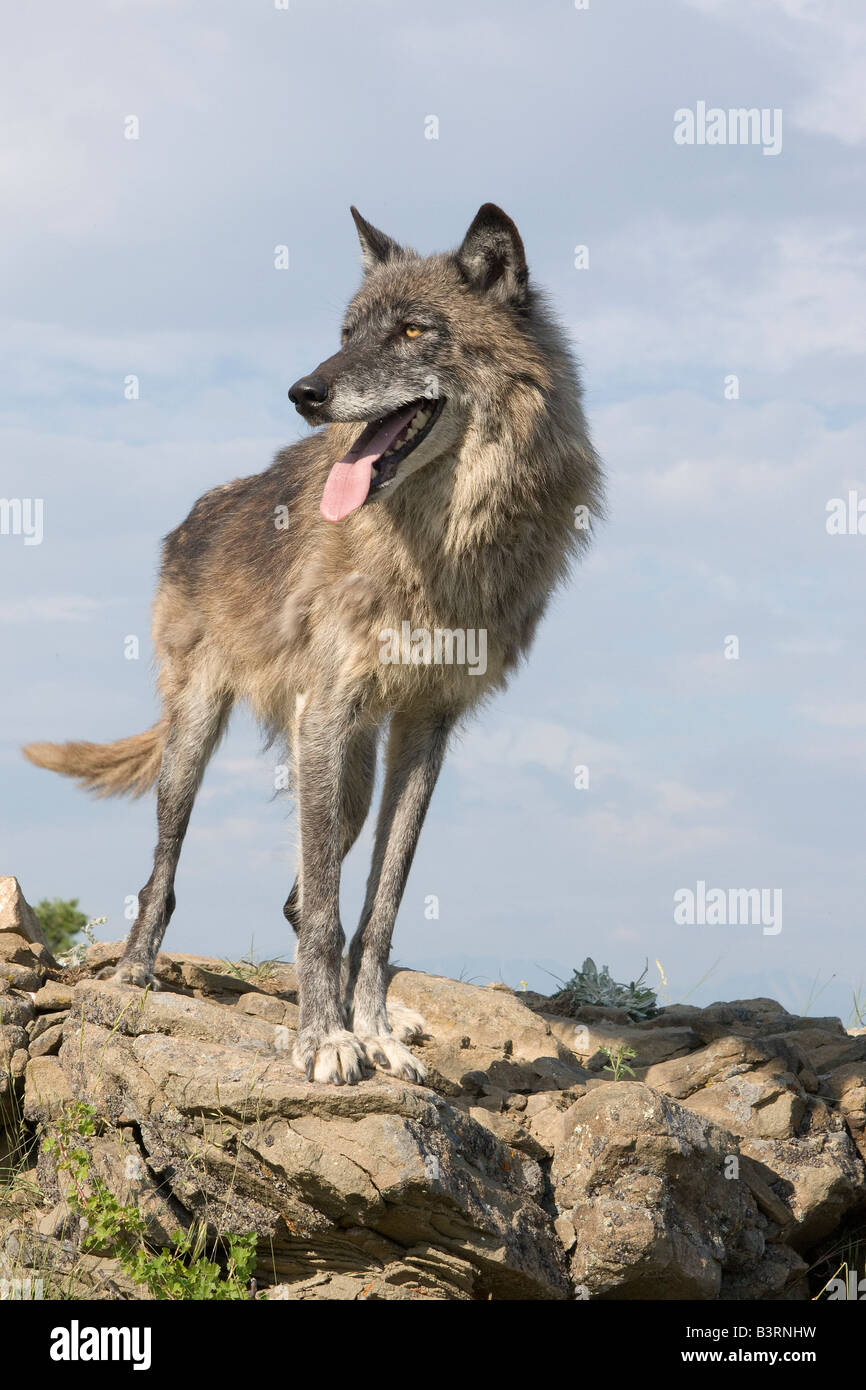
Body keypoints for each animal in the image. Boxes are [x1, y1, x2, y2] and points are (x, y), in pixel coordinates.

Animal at [20, 202, 603, 1084]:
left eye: (411, 330)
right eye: (346, 332)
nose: (304, 392)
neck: (440, 542)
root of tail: (193, 514)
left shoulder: (426, 727)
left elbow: (379, 904)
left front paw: (373, 1029)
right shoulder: (327, 709)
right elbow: (331, 910)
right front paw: (325, 1038)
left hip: (348, 772)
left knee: (298, 893)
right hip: (203, 738)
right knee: (167, 873)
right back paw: (134, 974)